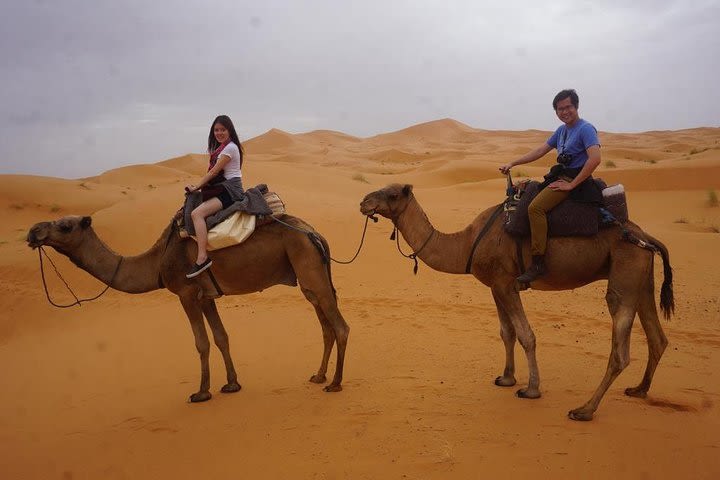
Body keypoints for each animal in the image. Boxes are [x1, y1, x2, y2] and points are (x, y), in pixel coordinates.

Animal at [28, 214, 352, 402]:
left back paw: (335, 383)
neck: (157, 261)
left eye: (64, 225)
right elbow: (221, 337)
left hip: (309, 268)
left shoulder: (186, 293)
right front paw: (232, 384)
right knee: (325, 325)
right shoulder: (206, 296)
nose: (33, 232)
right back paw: (319, 375)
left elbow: (201, 342)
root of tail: (315, 234)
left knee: (340, 326)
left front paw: (202, 391)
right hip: (308, 277)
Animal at [360, 184, 676, 420]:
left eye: (392, 194)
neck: (467, 243)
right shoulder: (496, 285)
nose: (364, 202)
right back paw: (639, 389)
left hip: (625, 271)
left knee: (620, 348)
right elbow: (507, 332)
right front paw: (506, 377)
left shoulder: (506, 282)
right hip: (642, 277)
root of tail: (644, 235)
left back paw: (584, 410)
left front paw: (531, 389)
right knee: (657, 337)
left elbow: (526, 335)